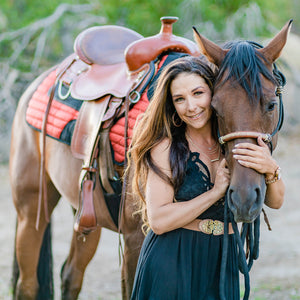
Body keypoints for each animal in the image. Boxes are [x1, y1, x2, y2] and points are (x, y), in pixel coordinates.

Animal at [10, 17, 292, 300]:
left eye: (271, 104)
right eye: (215, 108)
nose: (244, 199)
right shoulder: (135, 240)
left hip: (85, 214)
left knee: (70, 275)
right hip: (30, 210)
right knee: (28, 284)